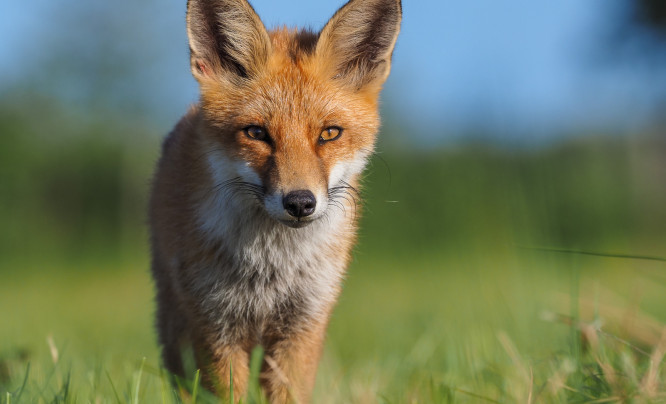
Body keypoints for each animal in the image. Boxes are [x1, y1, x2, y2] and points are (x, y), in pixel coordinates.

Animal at [149, 0, 400, 400]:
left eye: (329, 133)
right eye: (257, 133)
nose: (299, 202)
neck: (271, 267)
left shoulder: (303, 325)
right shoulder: (215, 325)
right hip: (178, 326)